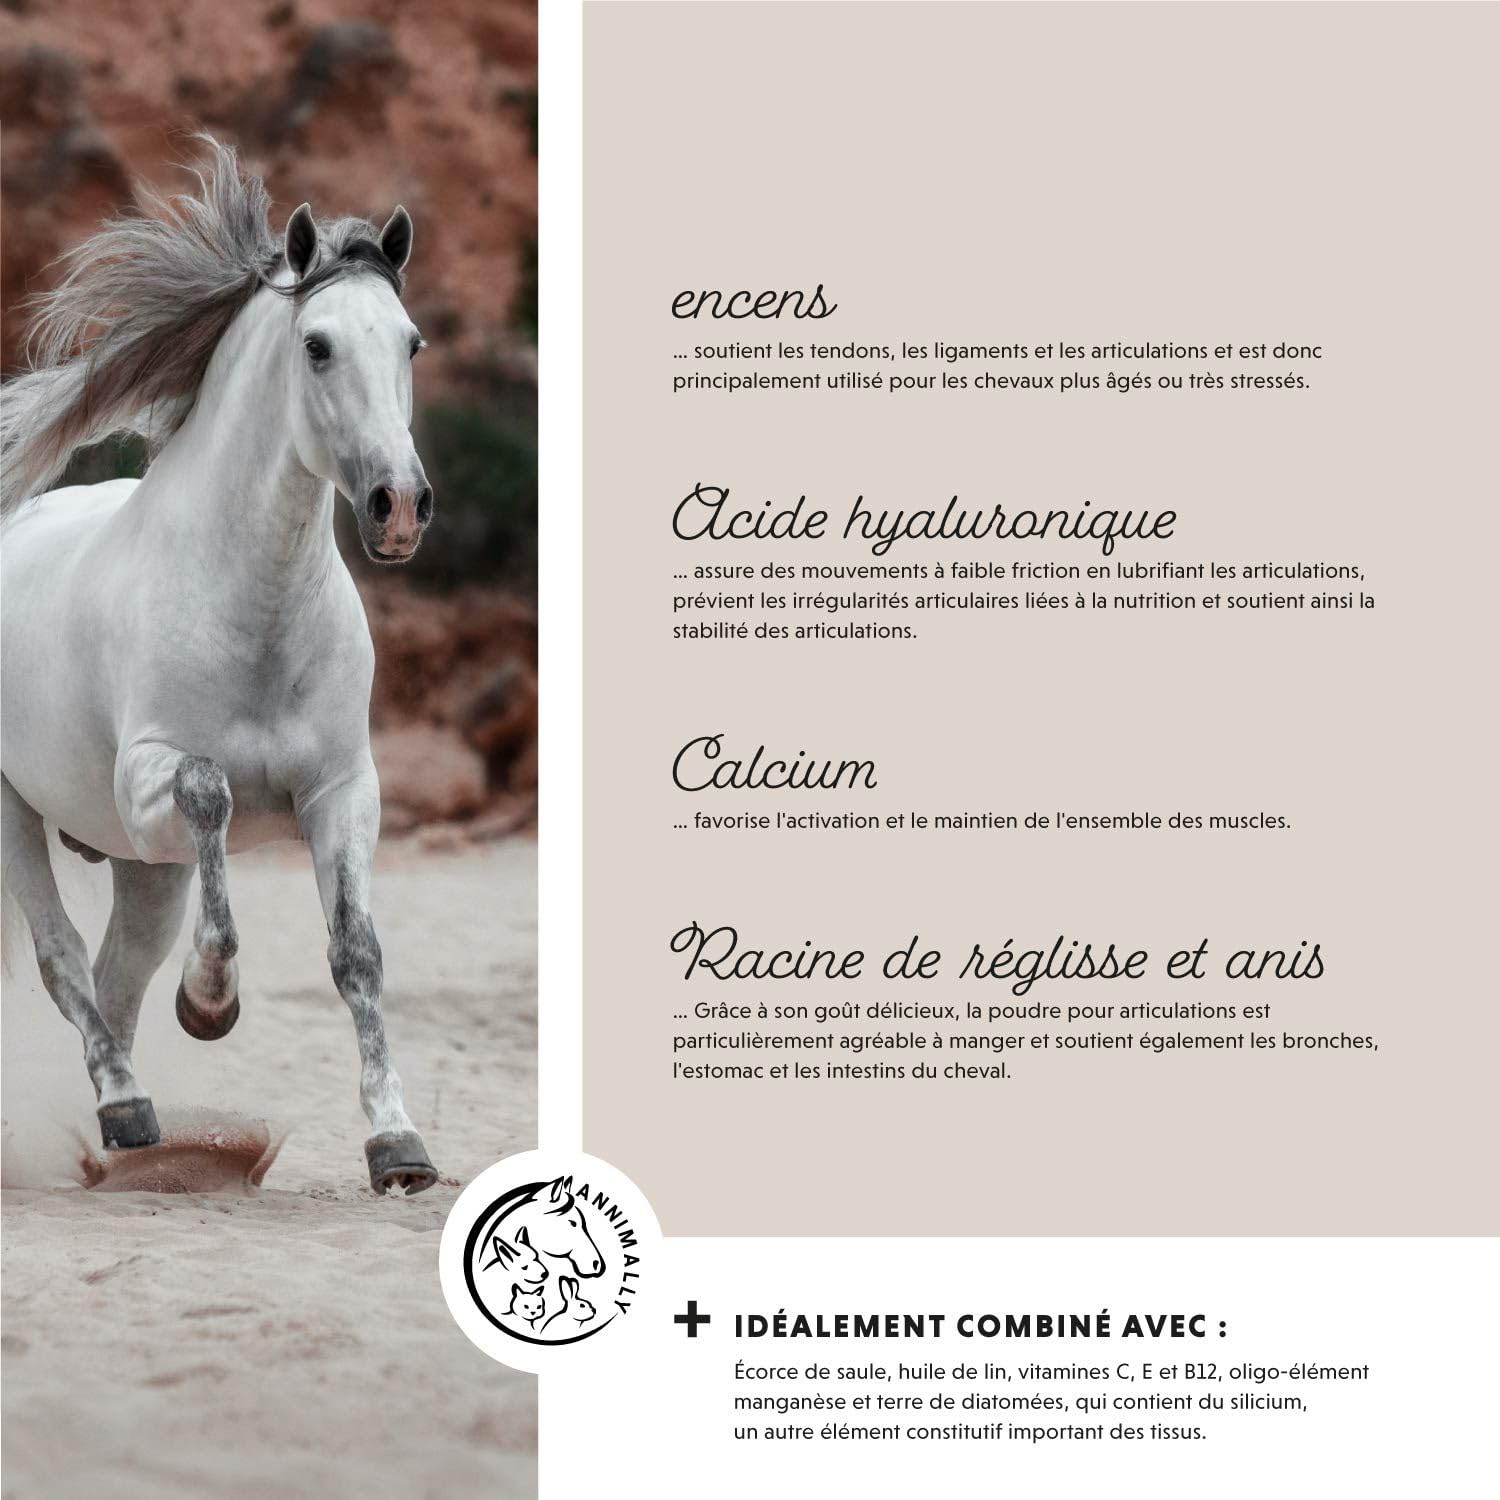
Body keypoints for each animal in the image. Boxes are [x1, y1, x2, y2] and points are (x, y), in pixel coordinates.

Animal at [0, 139, 440, 1194]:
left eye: (409, 344)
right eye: (317, 345)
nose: (400, 507)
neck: (256, 610)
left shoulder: (342, 791)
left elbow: (357, 953)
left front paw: (397, 1143)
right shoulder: (150, 779)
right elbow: (213, 794)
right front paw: (209, 1003)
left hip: (142, 870)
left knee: (114, 978)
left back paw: (119, 1135)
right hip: (22, 817)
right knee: (64, 959)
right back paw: (126, 1107)